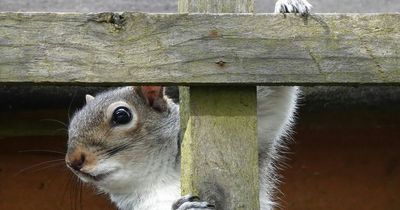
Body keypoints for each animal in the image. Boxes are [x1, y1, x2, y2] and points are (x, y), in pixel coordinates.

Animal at [64, 0, 310, 209]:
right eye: (73, 122)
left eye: (121, 115)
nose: (73, 161)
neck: (155, 178)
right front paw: (184, 206)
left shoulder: (259, 136)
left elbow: (274, 103)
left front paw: (289, 7)